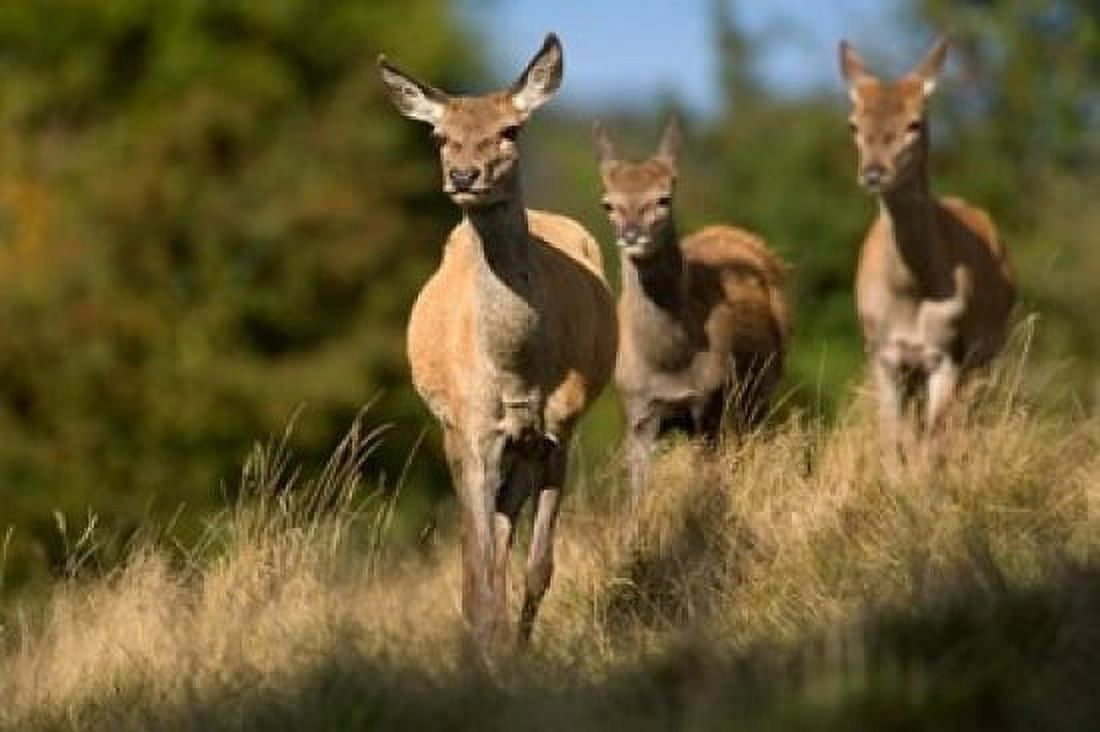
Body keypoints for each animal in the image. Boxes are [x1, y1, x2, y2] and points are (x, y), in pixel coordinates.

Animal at [377, 35, 616, 658]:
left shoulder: (560, 429)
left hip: (521, 447)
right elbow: (479, 569)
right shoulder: (472, 428)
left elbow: (539, 567)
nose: (464, 174)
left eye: (512, 130)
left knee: (505, 531)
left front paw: (519, 652)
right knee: (475, 551)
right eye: (439, 136)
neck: (516, 369)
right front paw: (489, 648)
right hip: (452, 432)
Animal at [594, 118, 789, 498]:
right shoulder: (637, 410)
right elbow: (636, 497)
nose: (631, 234)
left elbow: (708, 484)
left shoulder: (709, 402)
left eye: (664, 198)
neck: (669, 363)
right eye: (608, 204)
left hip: (760, 388)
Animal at [839, 37, 1015, 446]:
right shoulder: (883, 353)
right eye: (854, 124)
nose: (873, 172)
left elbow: (933, 442)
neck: (910, 290)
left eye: (914, 123)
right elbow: (894, 440)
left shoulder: (947, 351)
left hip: (988, 355)